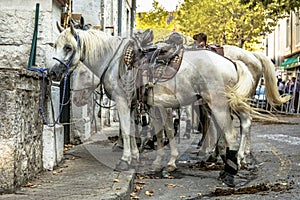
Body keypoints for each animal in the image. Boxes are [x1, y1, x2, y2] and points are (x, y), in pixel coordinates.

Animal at [49, 24, 255, 186]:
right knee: (242, 122)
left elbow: (127, 130)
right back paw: (233, 160)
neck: (114, 61)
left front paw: (125, 160)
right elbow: (137, 131)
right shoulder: (136, 105)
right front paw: (136, 157)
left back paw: (229, 173)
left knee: (230, 134)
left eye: (68, 47)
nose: (53, 73)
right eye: (55, 45)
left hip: (218, 104)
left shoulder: (123, 101)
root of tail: (231, 62)